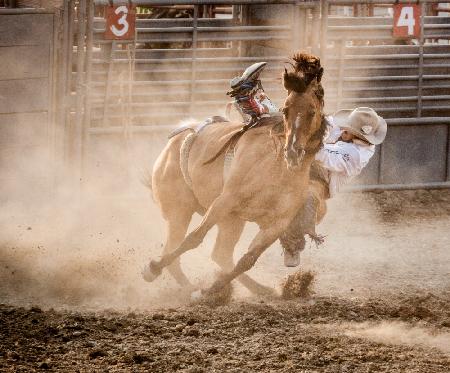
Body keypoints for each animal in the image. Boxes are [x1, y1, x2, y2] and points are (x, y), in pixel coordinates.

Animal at [144, 50, 326, 298]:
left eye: (312, 111)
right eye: (286, 110)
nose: (292, 152)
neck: (277, 170)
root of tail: (177, 138)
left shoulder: (275, 224)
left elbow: (247, 260)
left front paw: (213, 289)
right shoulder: (225, 200)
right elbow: (195, 238)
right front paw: (151, 269)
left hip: (232, 220)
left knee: (221, 254)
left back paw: (252, 289)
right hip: (179, 210)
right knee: (177, 249)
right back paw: (185, 285)